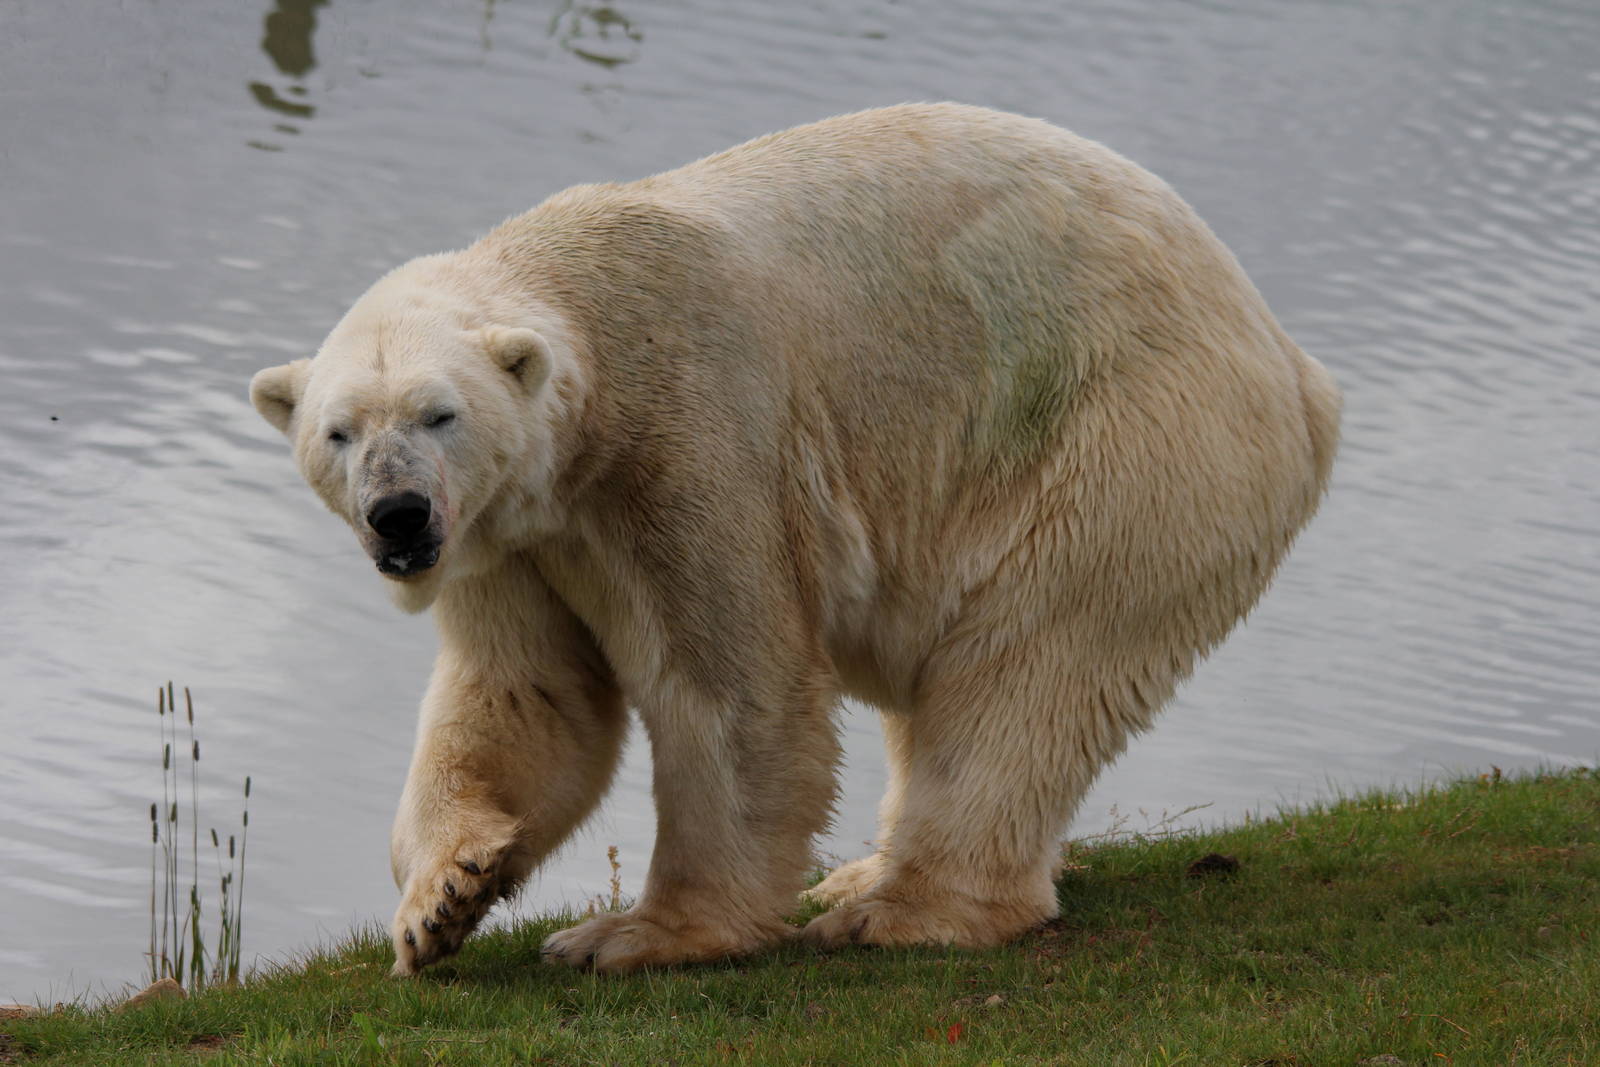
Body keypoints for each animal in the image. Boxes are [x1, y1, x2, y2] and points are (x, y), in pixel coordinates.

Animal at [249, 102, 1340, 976]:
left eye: (438, 414)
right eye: (339, 430)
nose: (398, 513)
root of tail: (1292, 366)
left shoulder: (691, 441)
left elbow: (729, 689)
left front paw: (636, 934)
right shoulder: (510, 533)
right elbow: (528, 692)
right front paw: (442, 899)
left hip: (1126, 445)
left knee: (1026, 668)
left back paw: (902, 909)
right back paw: (862, 874)